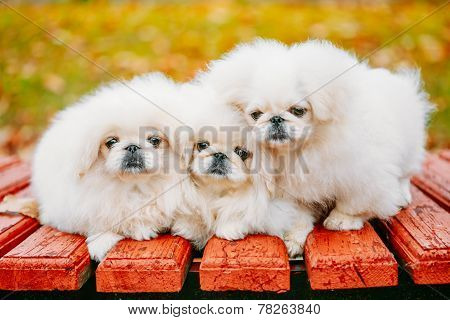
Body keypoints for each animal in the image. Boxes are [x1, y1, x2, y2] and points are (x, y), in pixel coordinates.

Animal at [31, 74, 185, 262]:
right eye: (111, 142)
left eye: (155, 140)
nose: (132, 146)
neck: (134, 187)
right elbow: (98, 223)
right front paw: (102, 241)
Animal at [167, 84, 314, 256]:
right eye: (202, 145)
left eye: (242, 153)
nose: (220, 154)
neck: (215, 192)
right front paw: (189, 228)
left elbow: (239, 208)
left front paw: (230, 228)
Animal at [200, 39, 432, 230]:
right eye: (256, 114)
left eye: (298, 111)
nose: (276, 118)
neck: (306, 148)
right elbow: (298, 214)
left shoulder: (363, 175)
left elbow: (353, 204)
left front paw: (342, 220)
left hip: (410, 148)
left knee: (405, 174)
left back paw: (402, 194)